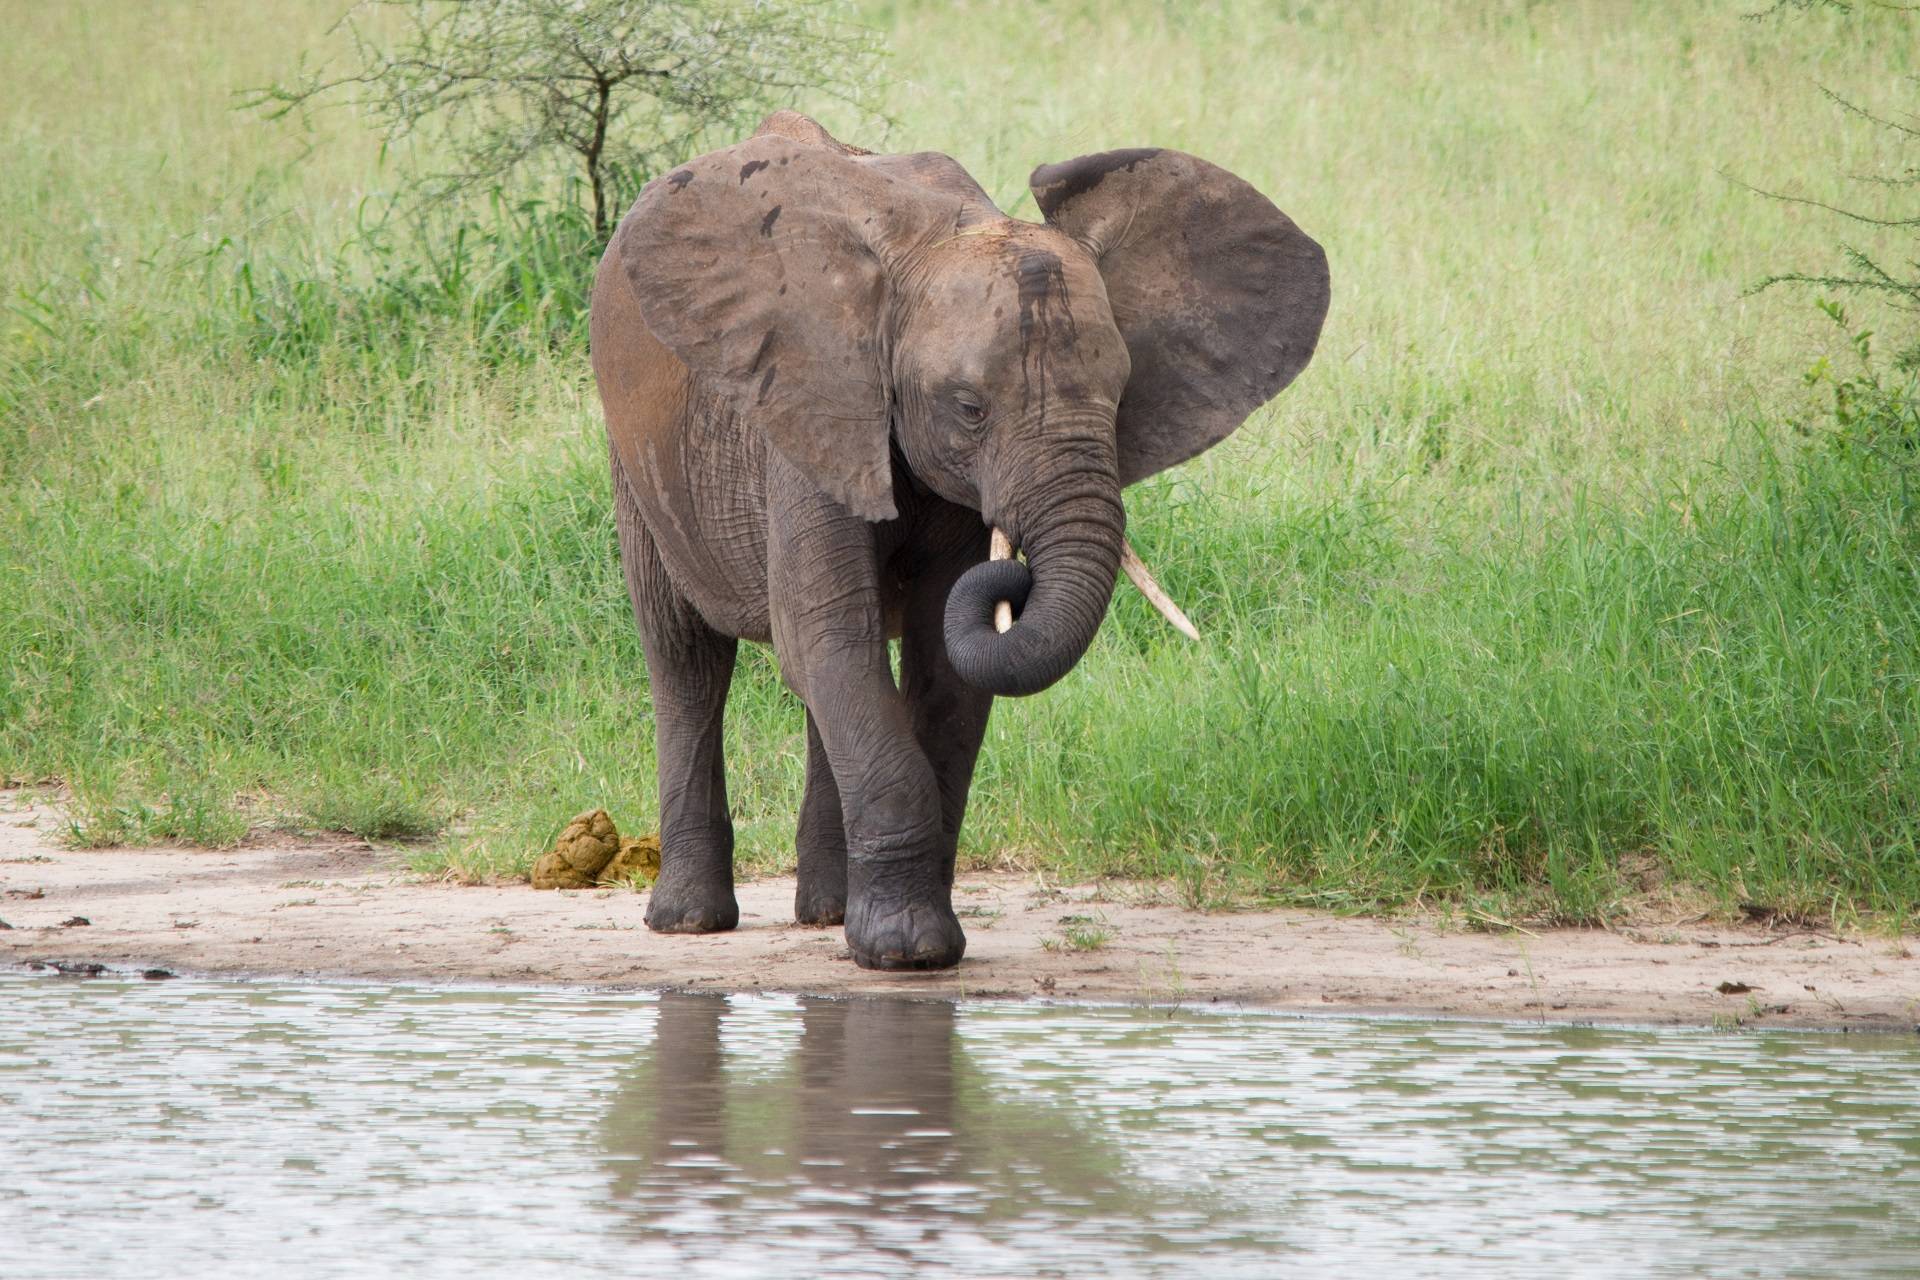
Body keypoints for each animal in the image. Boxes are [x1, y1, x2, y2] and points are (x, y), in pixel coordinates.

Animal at [591, 110, 1328, 971]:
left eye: (1120, 396)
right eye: (970, 407)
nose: (1015, 578)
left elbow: (938, 669)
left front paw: (912, 941)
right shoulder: (809, 415)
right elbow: (827, 636)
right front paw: (905, 952)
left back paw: (825, 914)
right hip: (634, 448)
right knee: (687, 659)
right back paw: (690, 922)